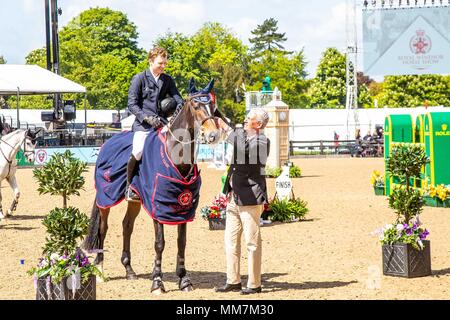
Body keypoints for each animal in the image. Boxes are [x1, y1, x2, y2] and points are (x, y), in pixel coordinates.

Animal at [82, 79, 223, 292]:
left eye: (212, 106)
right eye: (196, 105)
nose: (214, 135)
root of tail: (107, 143)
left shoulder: (183, 207)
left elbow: (182, 242)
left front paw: (184, 280)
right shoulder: (157, 205)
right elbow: (159, 243)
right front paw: (157, 281)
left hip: (135, 201)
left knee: (127, 226)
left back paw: (129, 270)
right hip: (105, 199)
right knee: (103, 229)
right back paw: (100, 271)